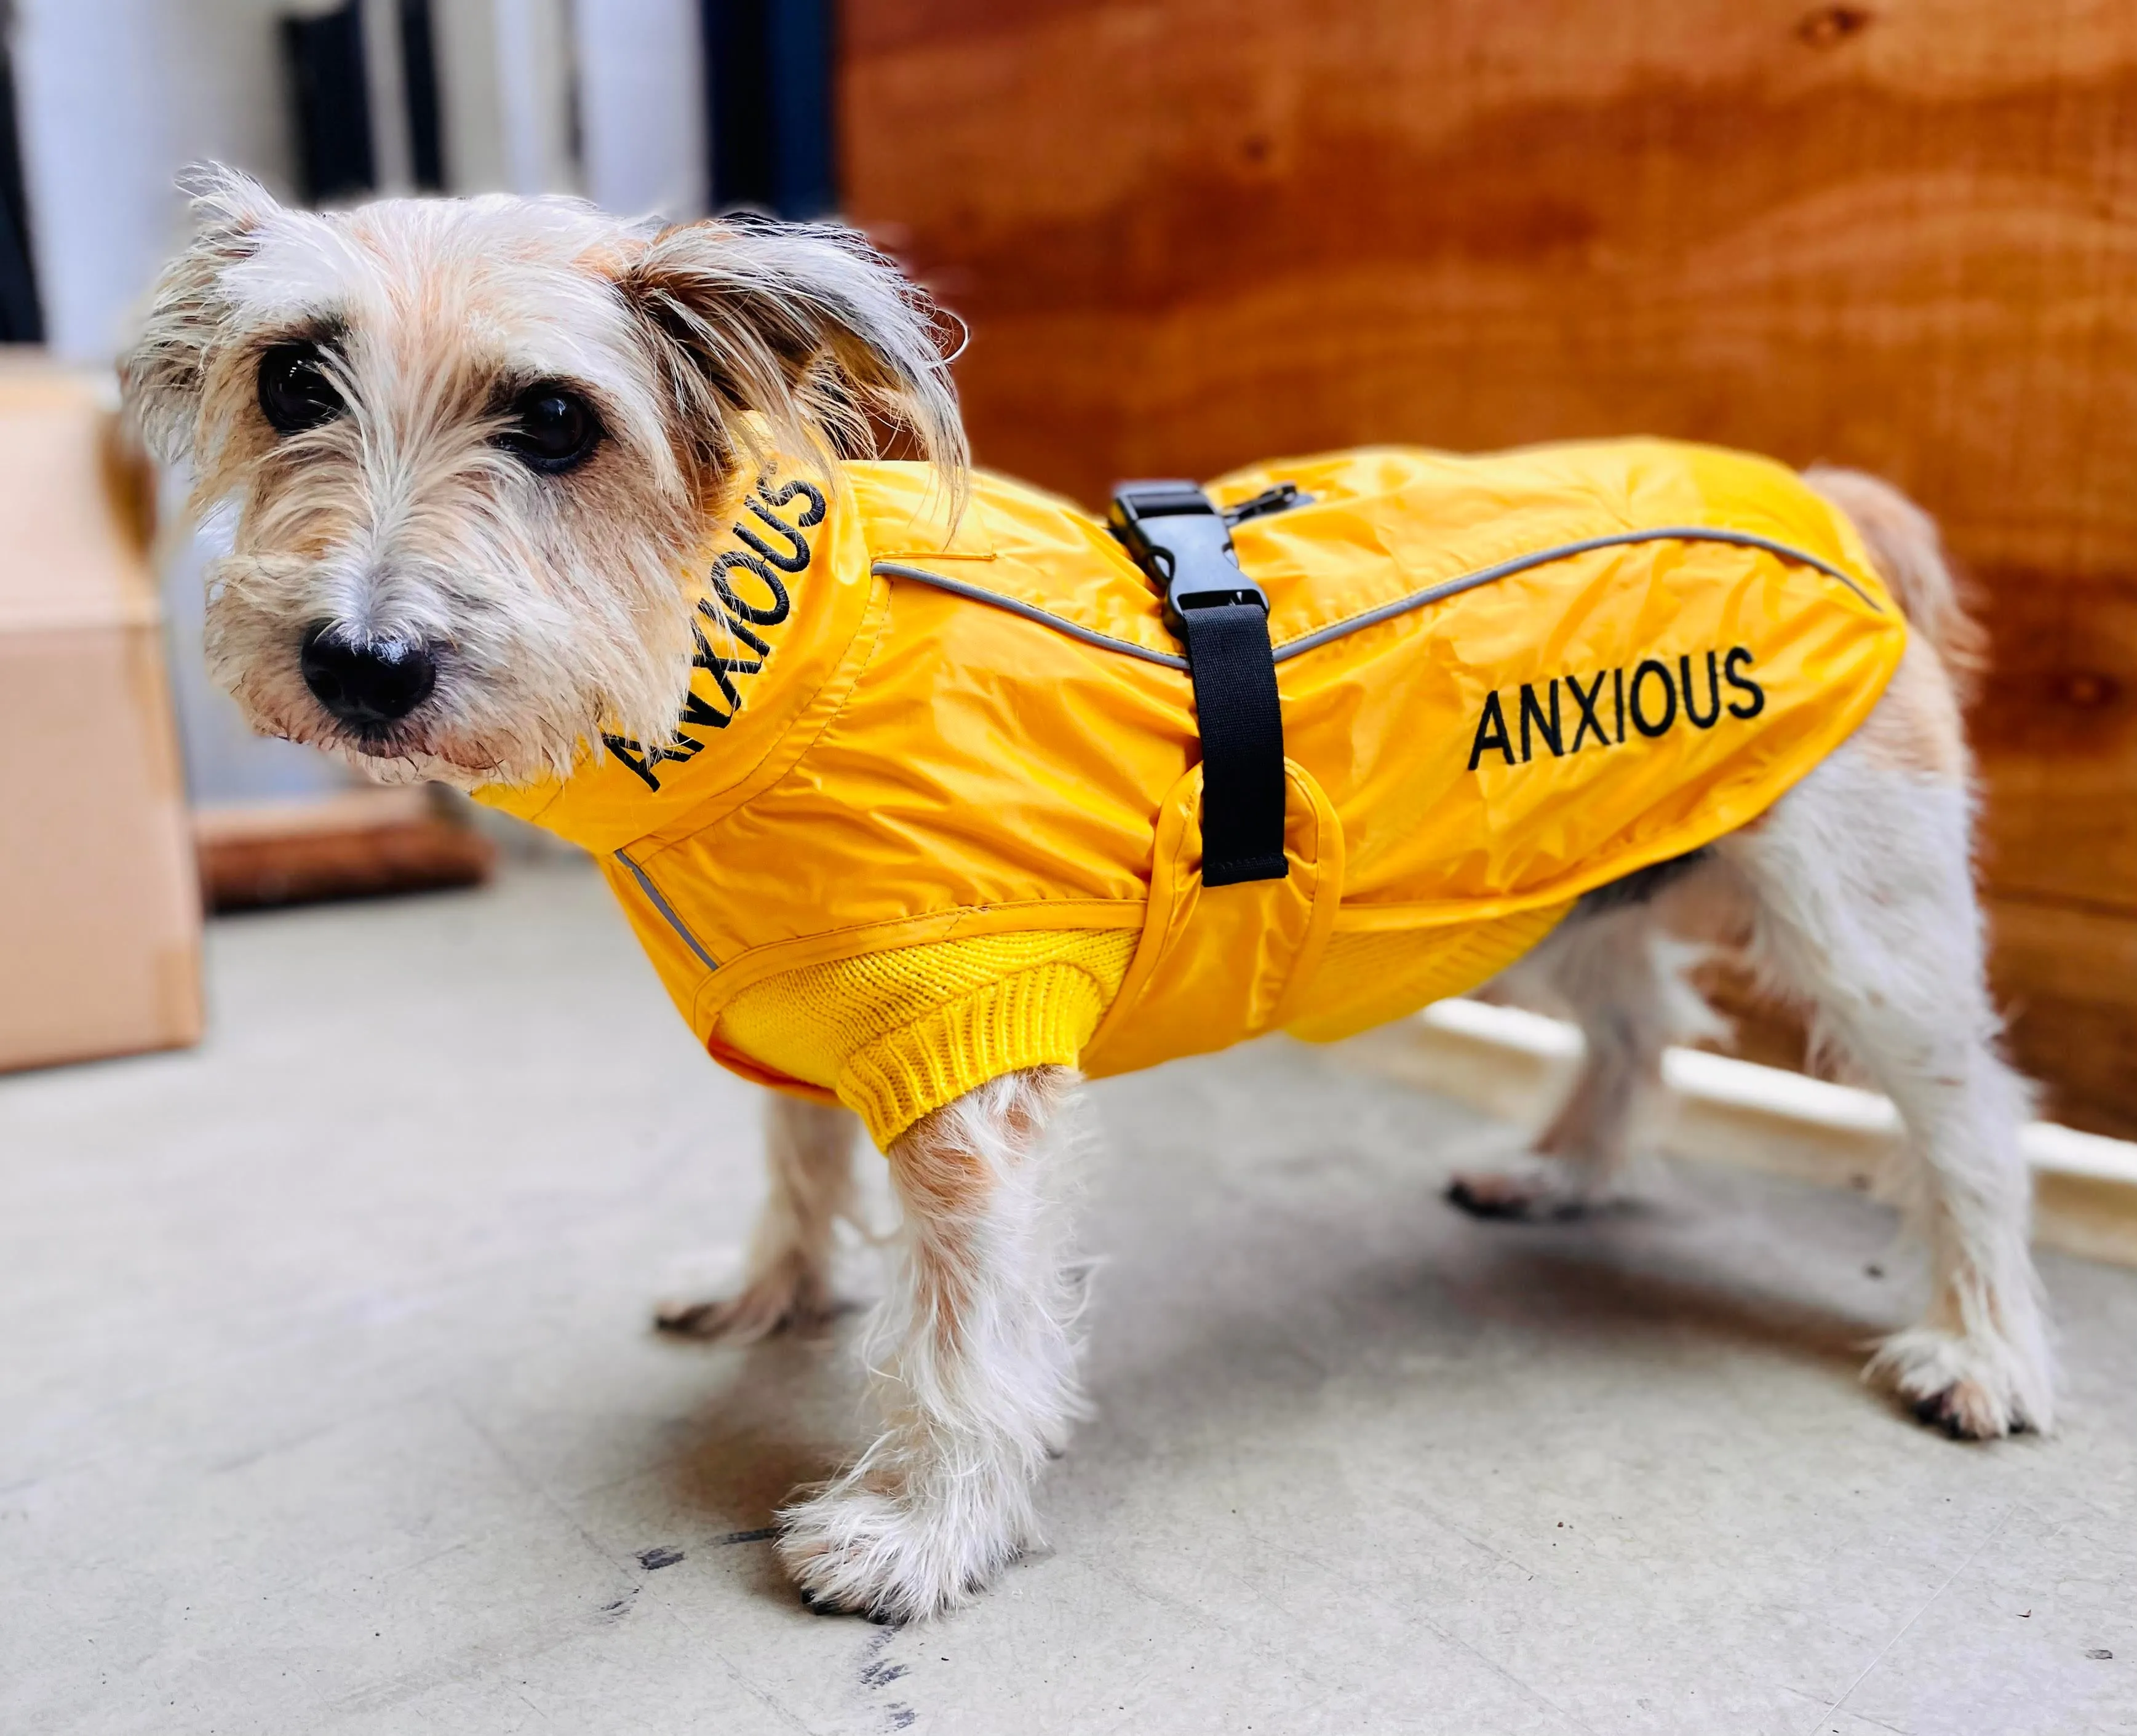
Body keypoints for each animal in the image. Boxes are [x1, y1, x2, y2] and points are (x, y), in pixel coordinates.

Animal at [129, 170, 2051, 1625]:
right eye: (293, 381)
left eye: (551, 420)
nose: (358, 664)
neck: (753, 669)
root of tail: (1835, 500)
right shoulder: (809, 1010)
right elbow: (795, 1168)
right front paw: (766, 1292)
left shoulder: (966, 1078)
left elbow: (961, 1333)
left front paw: (919, 1528)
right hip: (1541, 889)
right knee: (1641, 1023)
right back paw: (1562, 1167)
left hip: (1859, 927)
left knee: (1967, 1117)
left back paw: (1985, 1346)